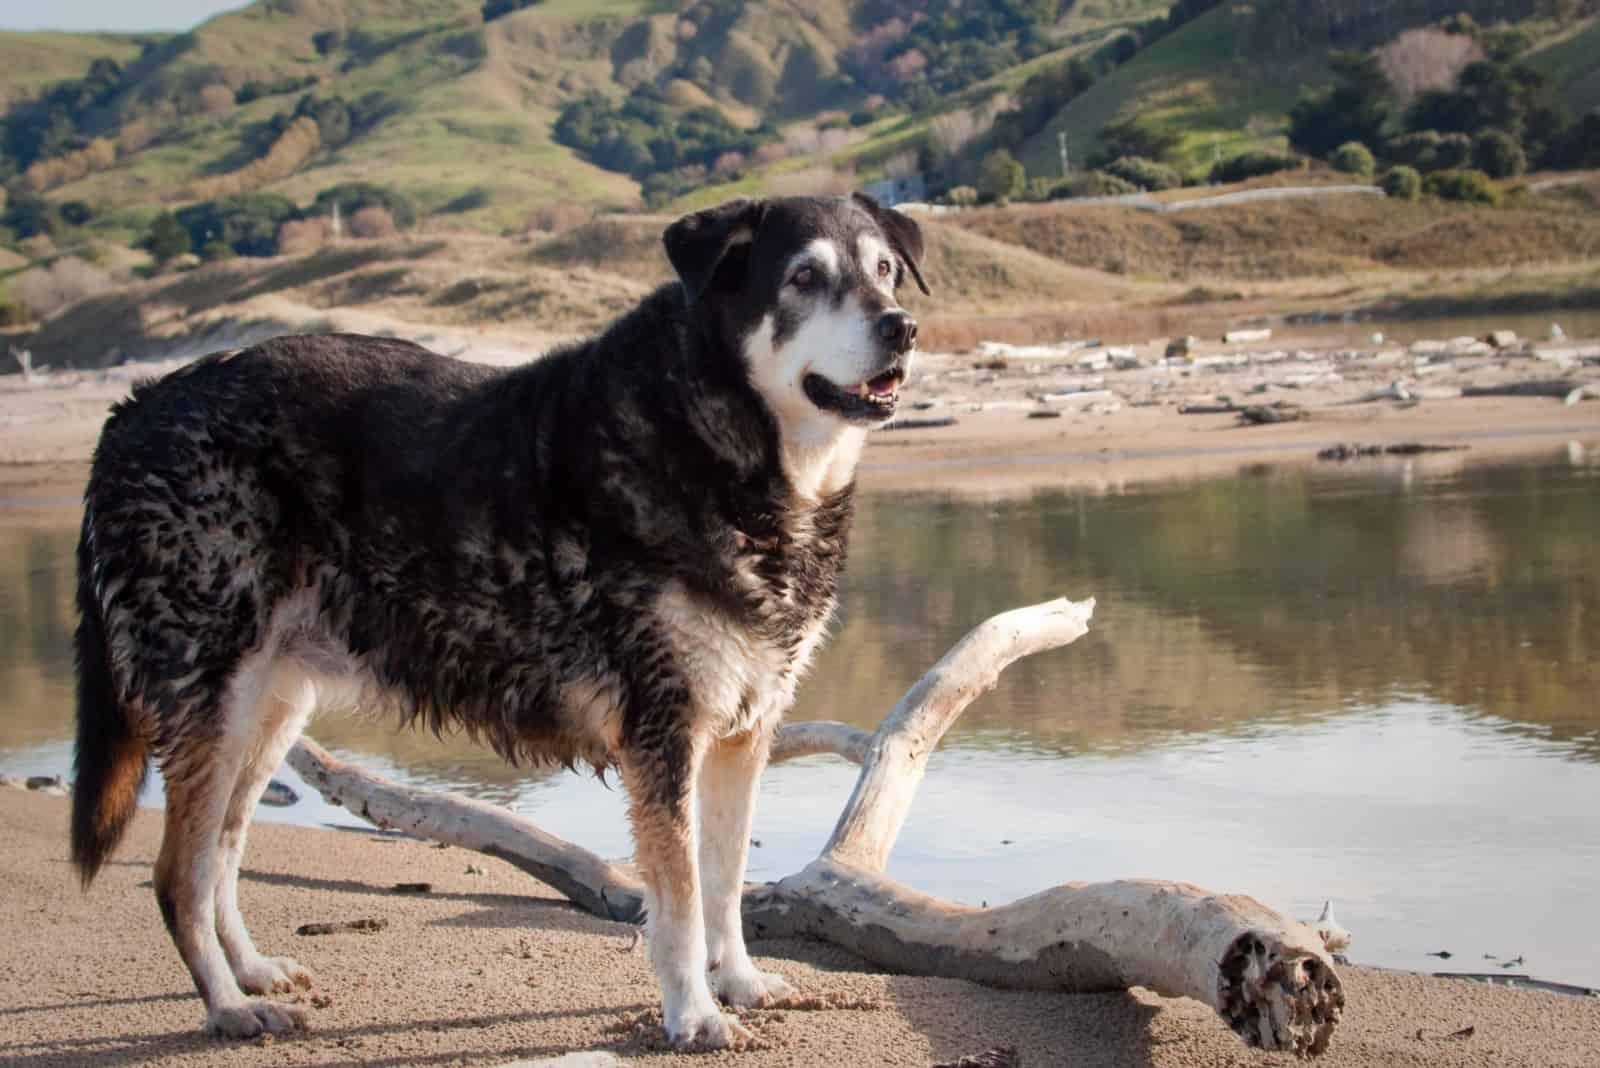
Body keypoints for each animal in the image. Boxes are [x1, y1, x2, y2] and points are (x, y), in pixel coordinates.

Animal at [72, 195, 928, 1048]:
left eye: (885, 270)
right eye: (804, 277)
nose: (903, 328)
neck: (723, 442)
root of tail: (132, 411)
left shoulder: (742, 733)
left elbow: (723, 884)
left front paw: (741, 984)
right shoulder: (663, 734)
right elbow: (682, 901)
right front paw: (693, 1014)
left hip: (270, 708)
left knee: (221, 853)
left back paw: (251, 971)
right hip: (214, 703)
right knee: (178, 875)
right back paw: (227, 1005)